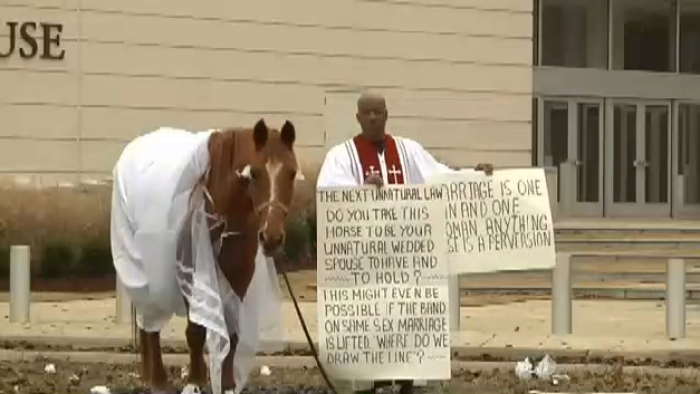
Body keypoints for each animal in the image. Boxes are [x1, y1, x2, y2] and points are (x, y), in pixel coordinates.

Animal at [117, 117, 300, 394]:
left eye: (291, 173)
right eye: (255, 174)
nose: (271, 237)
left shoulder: (240, 276)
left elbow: (233, 332)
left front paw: (228, 384)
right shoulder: (190, 273)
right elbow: (195, 332)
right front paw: (194, 381)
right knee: (150, 322)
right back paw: (158, 380)